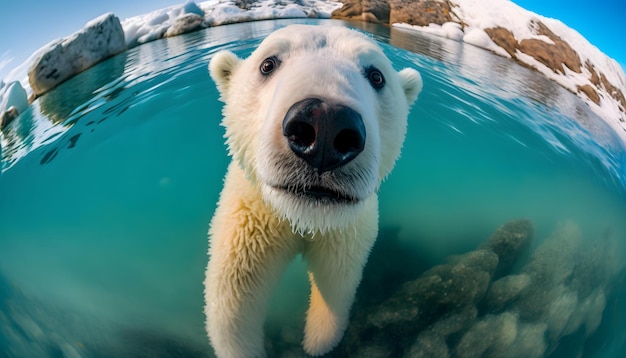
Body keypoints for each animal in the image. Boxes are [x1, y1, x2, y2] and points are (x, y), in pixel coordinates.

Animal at [202, 23, 422, 356]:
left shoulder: (346, 228)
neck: (303, 218)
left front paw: (317, 340)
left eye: (376, 76)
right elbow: (235, 294)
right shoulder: (252, 215)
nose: (327, 126)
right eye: (268, 64)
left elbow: (337, 278)